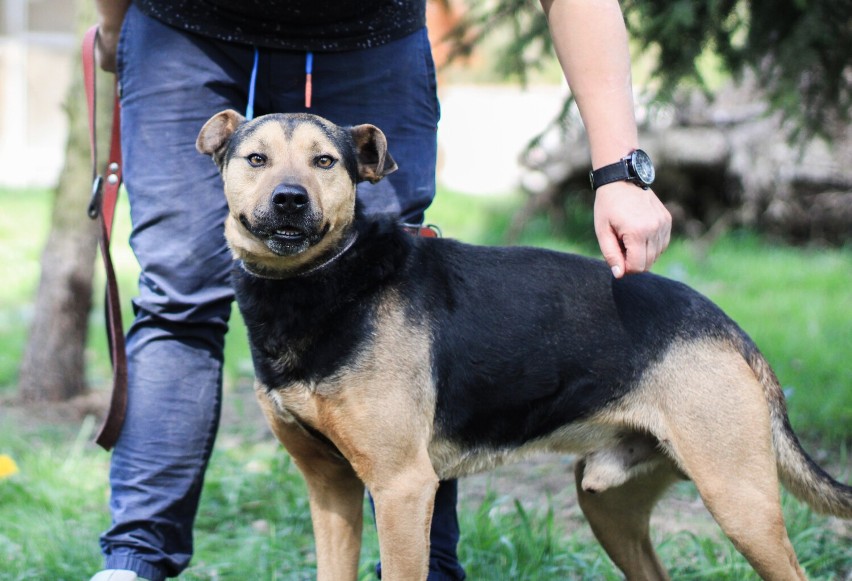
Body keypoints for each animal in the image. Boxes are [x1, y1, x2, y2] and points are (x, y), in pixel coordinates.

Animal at [196, 110, 848, 580]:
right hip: (610, 506)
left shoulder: (402, 488)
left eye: (325, 161)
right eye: (256, 159)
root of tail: (730, 327)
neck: (321, 284)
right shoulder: (329, 487)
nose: (289, 198)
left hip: (740, 500)